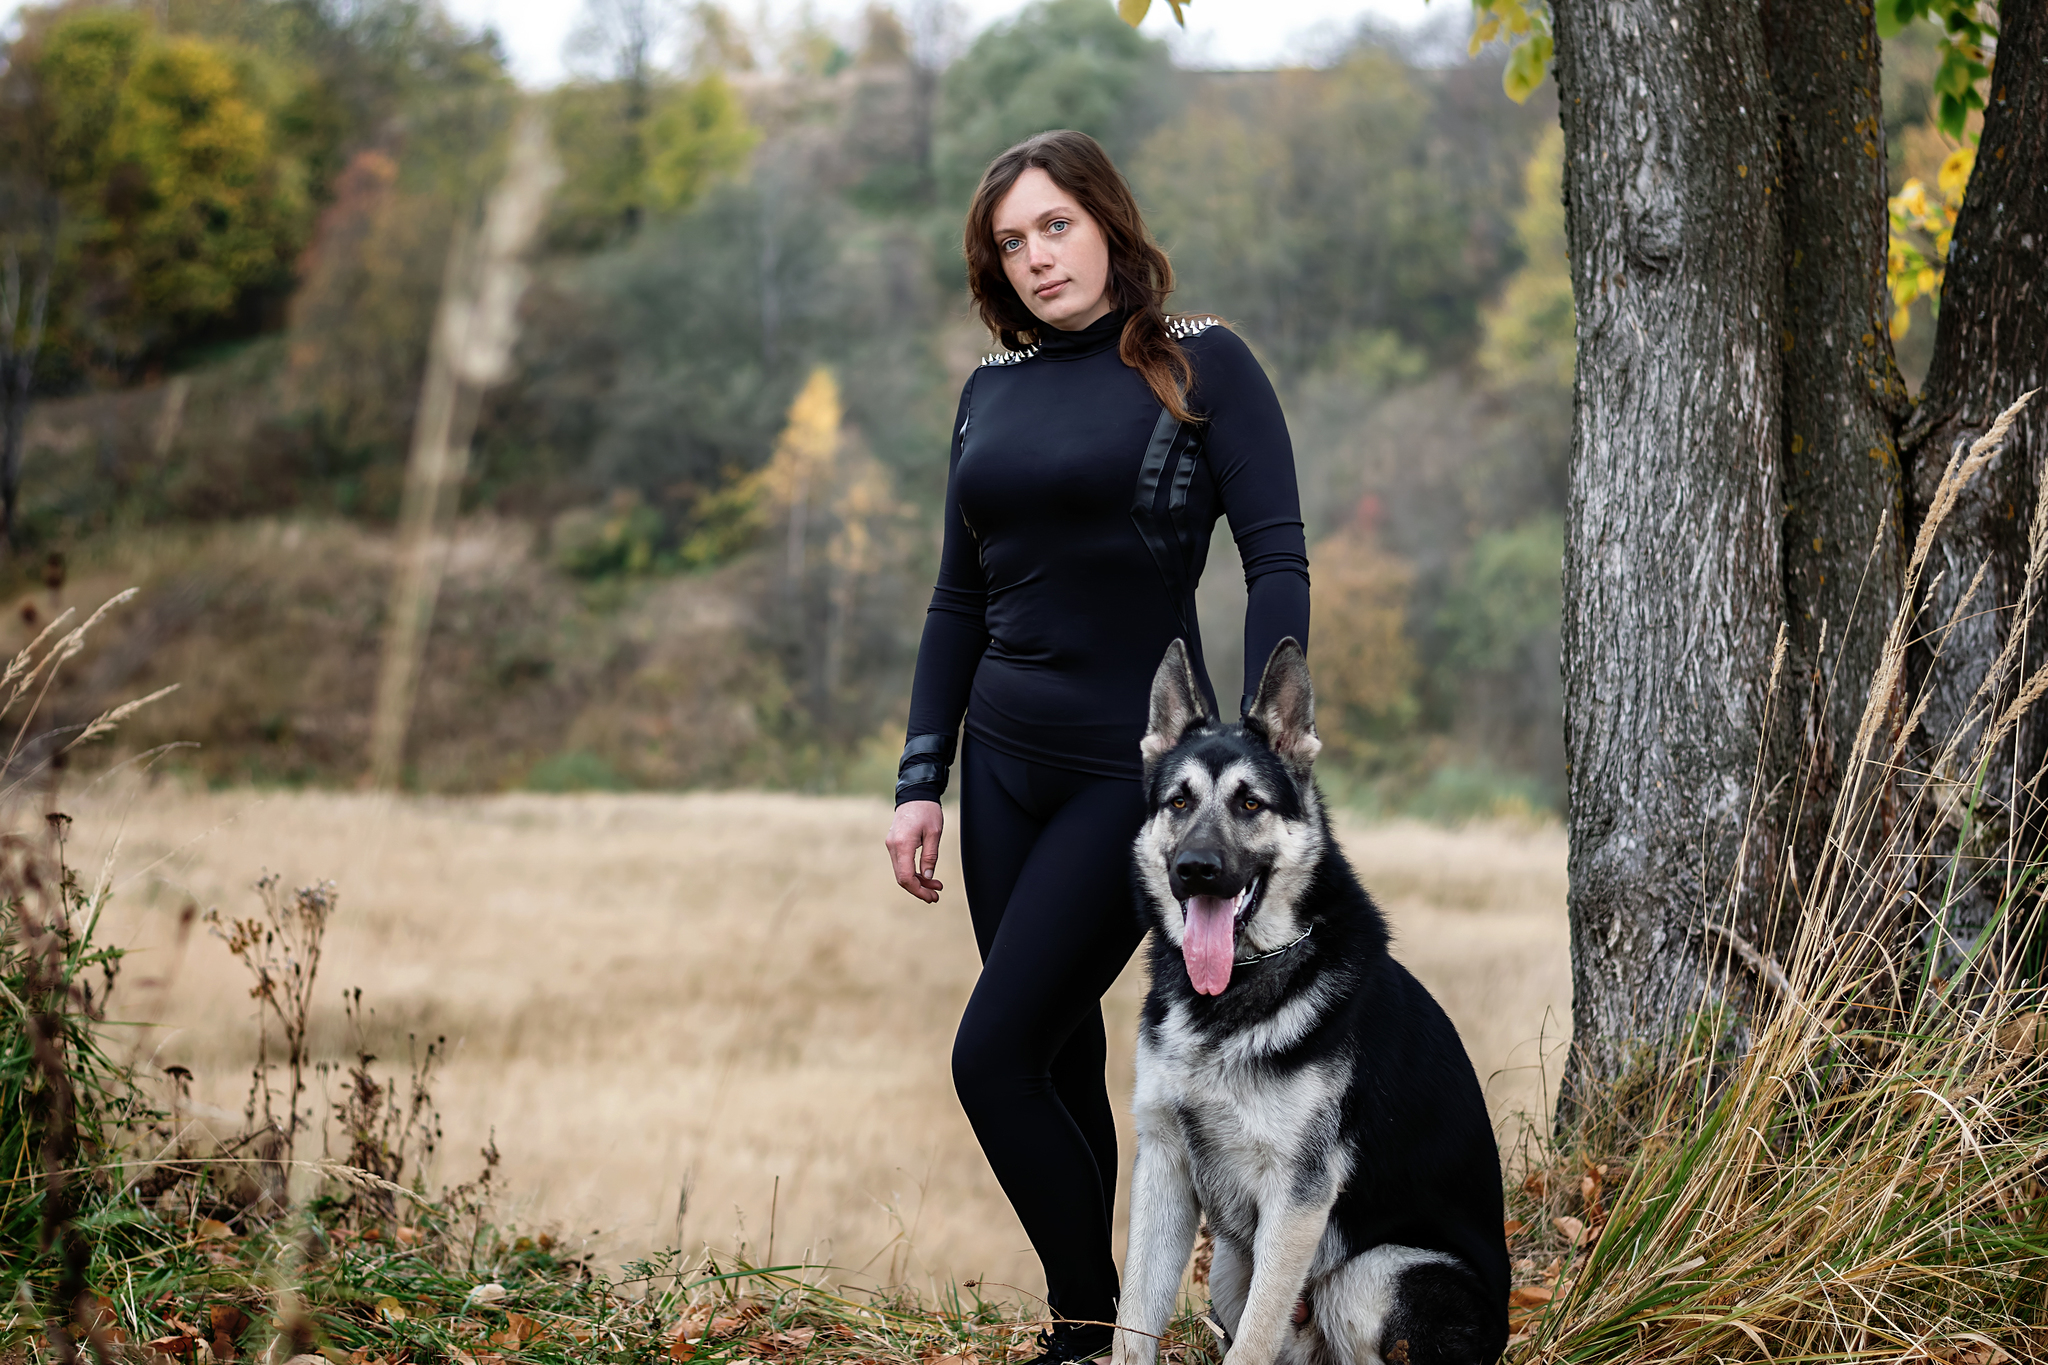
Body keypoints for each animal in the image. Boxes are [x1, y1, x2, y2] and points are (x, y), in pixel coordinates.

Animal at [1114, 642, 1515, 1365]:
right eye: (1179, 801)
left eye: (1249, 803)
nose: (1195, 868)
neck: (1236, 988)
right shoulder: (1163, 1163)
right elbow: (1134, 1320)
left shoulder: (1297, 1199)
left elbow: (1250, 1344)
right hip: (1231, 1266)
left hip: (1371, 1275)